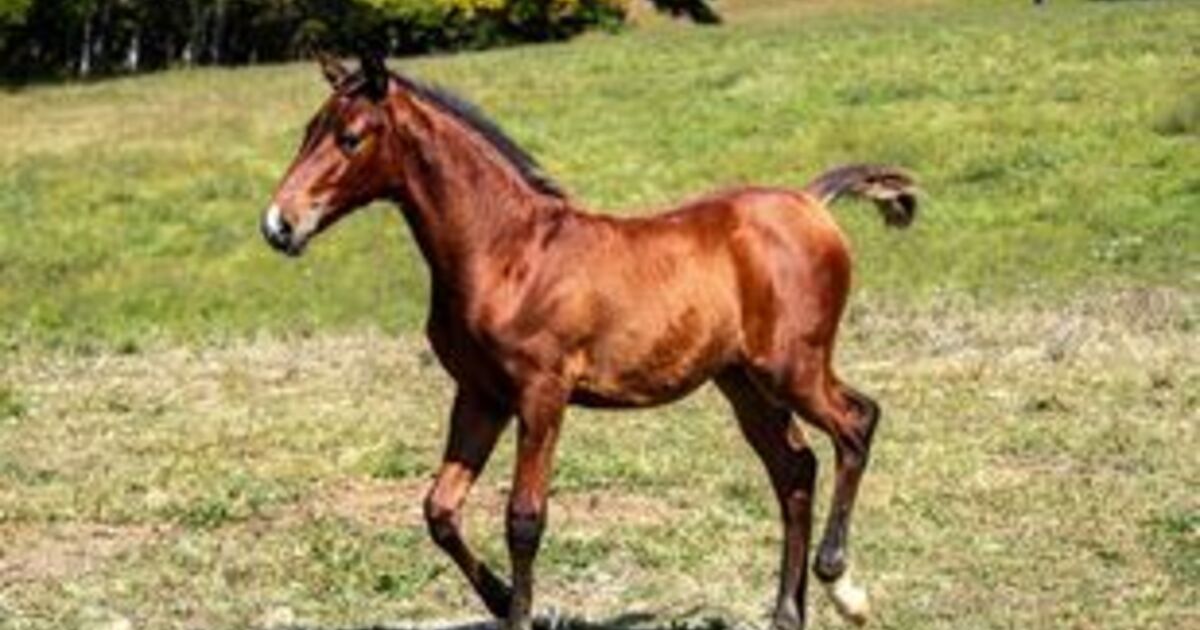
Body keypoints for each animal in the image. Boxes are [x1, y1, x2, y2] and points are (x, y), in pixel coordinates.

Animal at [260, 54, 918, 630]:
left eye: (350, 138)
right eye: (308, 131)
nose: (279, 225)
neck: (507, 253)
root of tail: (811, 202)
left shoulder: (541, 393)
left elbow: (524, 518)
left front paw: (522, 612)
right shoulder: (479, 395)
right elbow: (439, 510)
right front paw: (500, 598)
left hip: (792, 366)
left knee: (857, 422)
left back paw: (843, 585)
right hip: (743, 384)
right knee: (795, 467)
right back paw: (788, 612)